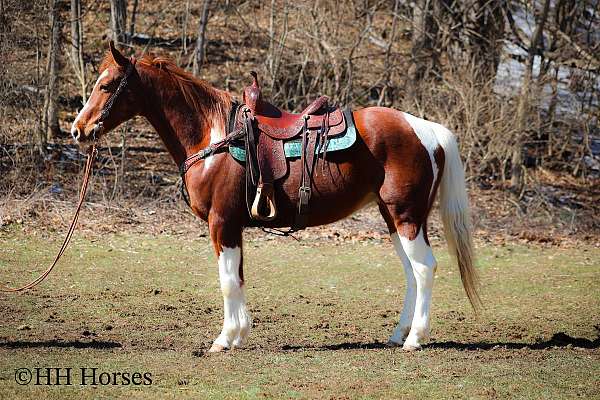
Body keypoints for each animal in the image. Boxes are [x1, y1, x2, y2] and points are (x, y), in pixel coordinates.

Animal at [71, 41, 482, 354]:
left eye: (107, 85)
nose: (78, 130)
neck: (213, 135)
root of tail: (425, 129)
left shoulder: (222, 223)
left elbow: (227, 280)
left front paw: (224, 339)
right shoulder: (232, 227)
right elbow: (236, 278)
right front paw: (238, 335)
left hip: (406, 216)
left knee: (424, 269)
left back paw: (414, 339)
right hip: (394, 219)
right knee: (412, 273)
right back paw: (399, 334)